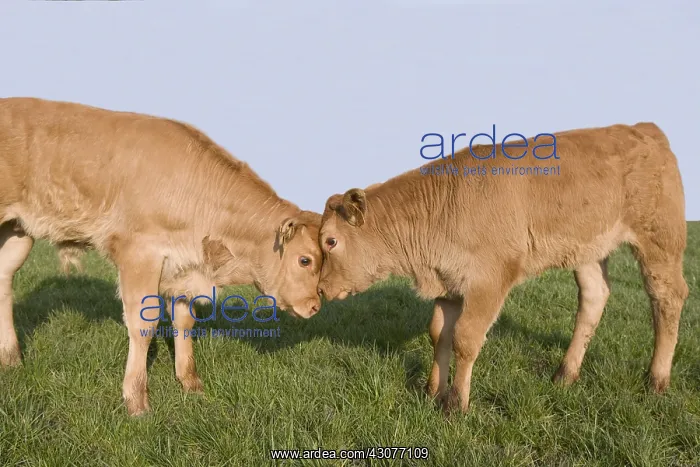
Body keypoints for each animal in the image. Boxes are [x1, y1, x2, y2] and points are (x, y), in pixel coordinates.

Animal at [0, 97, 324, 416]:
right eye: (304, 260)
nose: (314, 306)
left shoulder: (182, 267)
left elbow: (184, 322)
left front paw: (191, 384)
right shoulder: (139, 253)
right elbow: (144, 325)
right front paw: (136, 400)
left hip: (17, 231)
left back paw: (11, 358)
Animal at [317, 122, 689, 414]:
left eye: (330, 241)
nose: (320, 289)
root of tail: (644, 130)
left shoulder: (488, 280)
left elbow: (466, 339)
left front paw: (455, 405)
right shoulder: (449, 282)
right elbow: (439, 334)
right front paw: (432, 391)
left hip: (659, 240)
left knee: (667, 296)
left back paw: (657, 380)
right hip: (588, 249)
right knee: (595, 297)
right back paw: (565, 375)